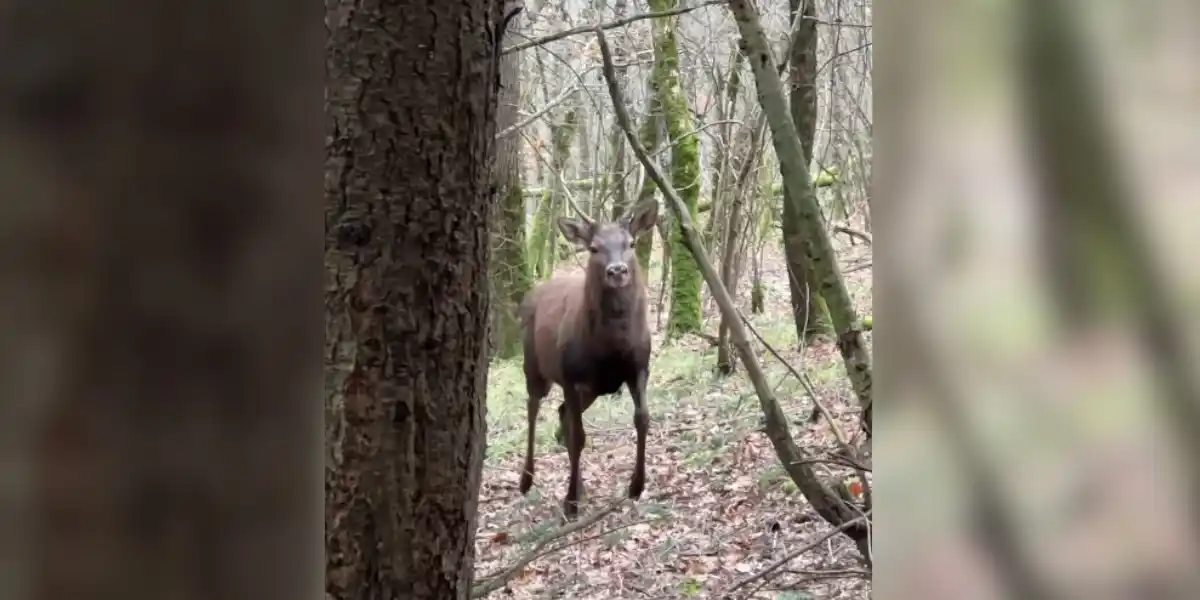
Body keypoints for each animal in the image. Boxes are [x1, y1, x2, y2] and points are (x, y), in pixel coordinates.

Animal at [518, 200, 662, 516]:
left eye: (631, 243)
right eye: (594, 248)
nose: (617, 270)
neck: (610, 349)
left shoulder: (639, 367)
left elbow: (643, 418)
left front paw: (636, 486)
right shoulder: (570, 376)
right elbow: (579, 436)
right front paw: (570, 503)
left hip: (592, 389)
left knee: (562, 413)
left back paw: (580, 489)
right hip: (534, 364)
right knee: (533, 407)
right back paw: (526, 480)